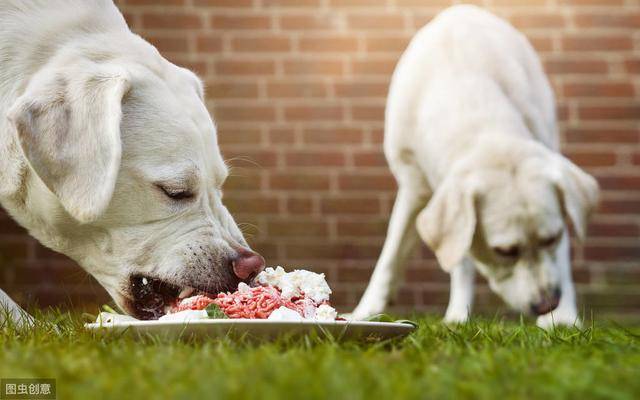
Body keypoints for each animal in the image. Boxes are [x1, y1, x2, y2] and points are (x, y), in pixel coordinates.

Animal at [352, 6, 596, 328]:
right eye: (504, 251)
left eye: (551, 238)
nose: (547, 304)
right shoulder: (414, 185)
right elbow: (391, 256)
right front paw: (364, 312)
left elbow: (562, 256)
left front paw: (563, 318)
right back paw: (458, 315)